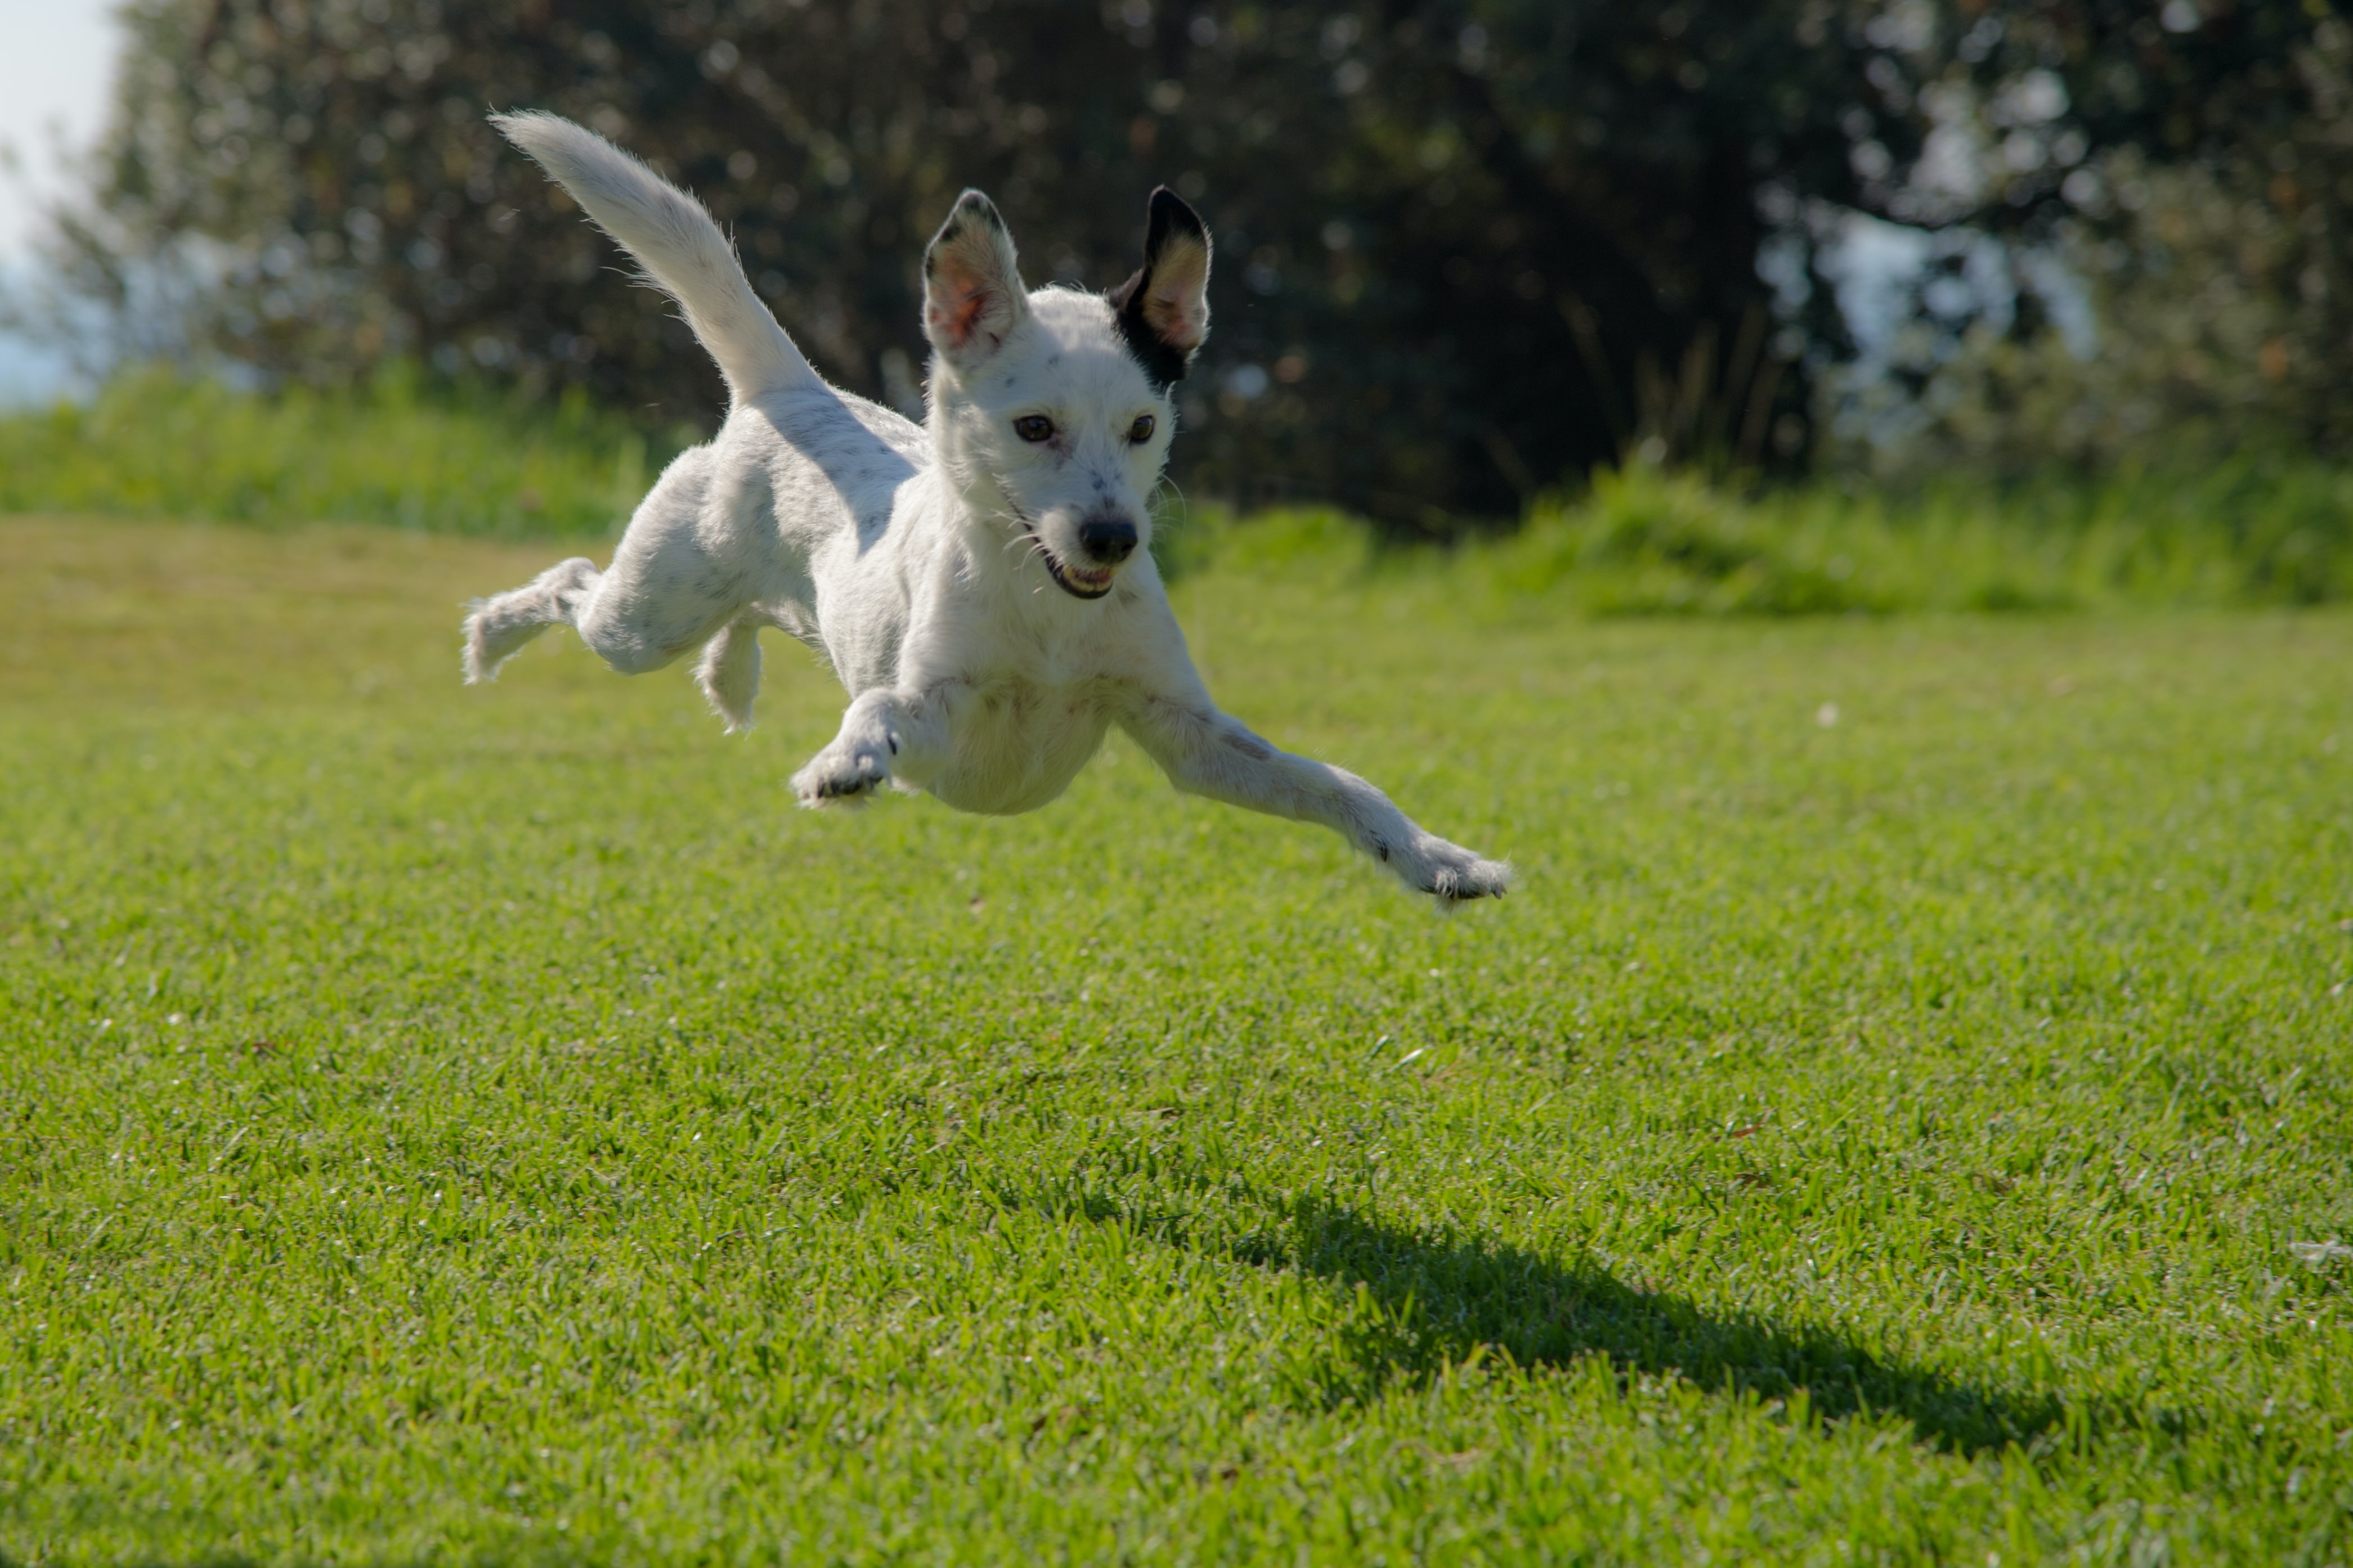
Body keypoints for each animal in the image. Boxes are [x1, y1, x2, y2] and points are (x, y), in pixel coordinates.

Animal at [468, 113, 1515, 907]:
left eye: (1143, 426)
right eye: (1034, 426)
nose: (1113, 538)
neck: (1047, 612)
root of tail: (791, 390)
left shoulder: (1189, 735)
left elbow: (1339, 782)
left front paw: (1437, 858)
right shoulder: (940, 717)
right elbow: (880, 707)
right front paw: (846, 760)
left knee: (742, 619)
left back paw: (730, 673)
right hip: (647, 614)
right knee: (573, 583)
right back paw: (491, 636)